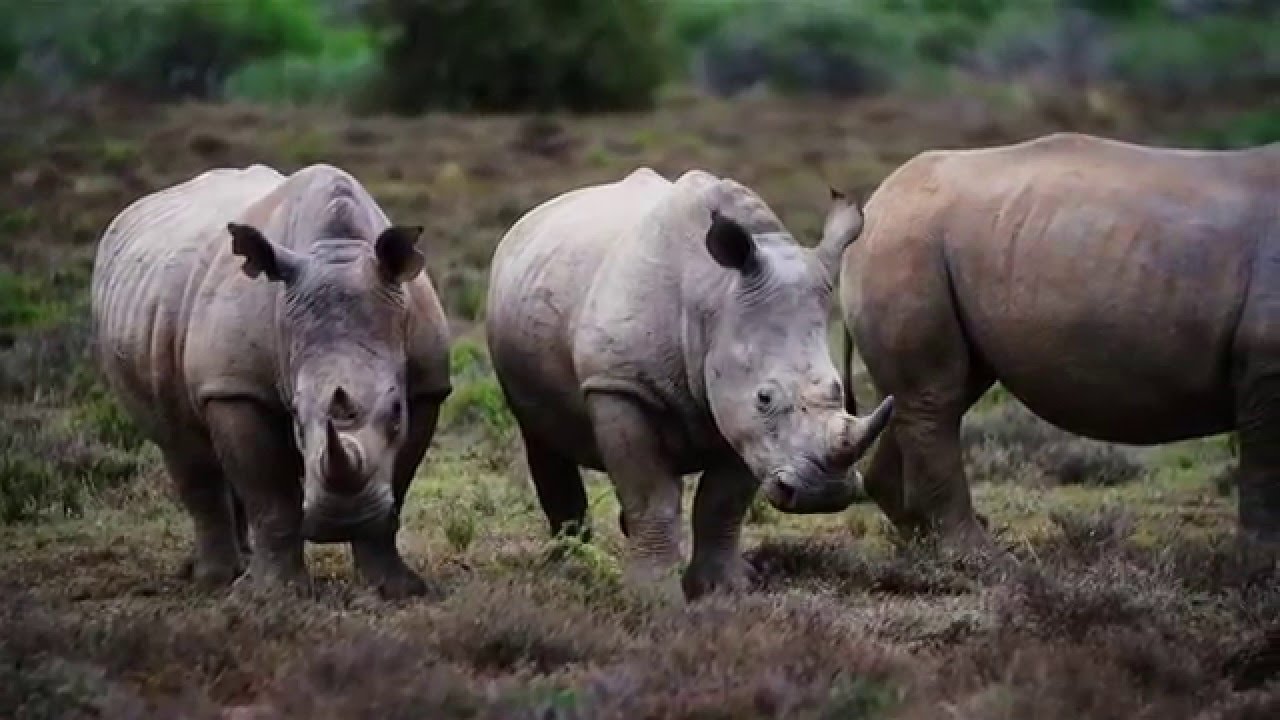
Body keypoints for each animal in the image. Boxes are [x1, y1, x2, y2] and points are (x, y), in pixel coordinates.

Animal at [90, 163, 451, 598]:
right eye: (295, 415)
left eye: (397, 412)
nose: (341, 522)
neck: (336, 248)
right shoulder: (238, 387)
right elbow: (269, 494)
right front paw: (270, 595)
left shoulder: (426, 386)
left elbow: (397, 482)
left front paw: (394, 589)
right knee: (183, 450)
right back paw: (215, 581)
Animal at [485, 168, 894, 600]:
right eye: (764, 397)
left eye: (838, 389)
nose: (824, 493)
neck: (714, 297)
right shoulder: (621, 384)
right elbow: (651, 495)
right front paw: (652, 595)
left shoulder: (741, 420)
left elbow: (722, 502)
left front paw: (724, 587)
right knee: (541, 437)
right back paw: (572, 565)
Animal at [839, 132, 1280, 546]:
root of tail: (874, 203)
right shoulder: (1267, 363)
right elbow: (1266, 469)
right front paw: (1258, 560)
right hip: (908, 242)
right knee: (935, 398)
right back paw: (977, 557)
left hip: (936, 241)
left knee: (935, 394)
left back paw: (922, 547)